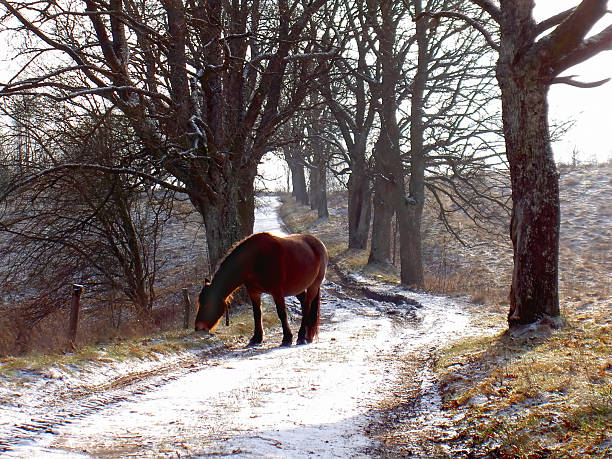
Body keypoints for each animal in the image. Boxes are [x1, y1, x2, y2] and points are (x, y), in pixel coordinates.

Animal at [196, 232, 330, 346]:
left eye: (208, 305)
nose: (198, 327)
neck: (255, 260)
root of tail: (318, 243)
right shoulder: (254, 292)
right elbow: (257, 314)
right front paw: (257, 338)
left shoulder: (277, 292)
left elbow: (282, 314)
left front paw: (287, 338)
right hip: (298, 289)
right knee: (304, 304)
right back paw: (307, 335)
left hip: (313, 286)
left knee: (307, 306)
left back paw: (301, 337)